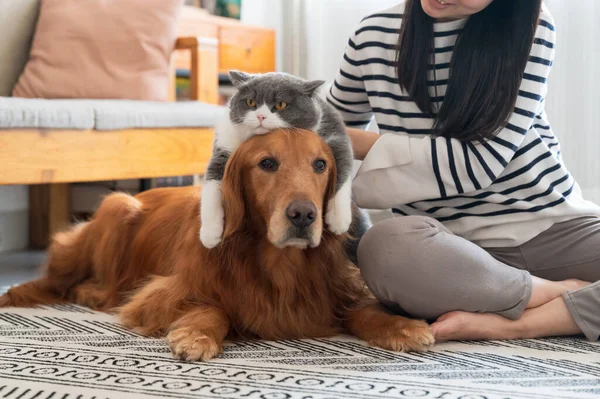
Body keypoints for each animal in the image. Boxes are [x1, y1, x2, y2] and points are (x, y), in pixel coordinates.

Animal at [199, 70, 354, 248]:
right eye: (251, 102)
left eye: (281, 104)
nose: (260, 116)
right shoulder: (224, 147)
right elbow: (211, 185)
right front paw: (209, 234)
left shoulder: (336, 134)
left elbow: (343, 167)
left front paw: (338, 219)